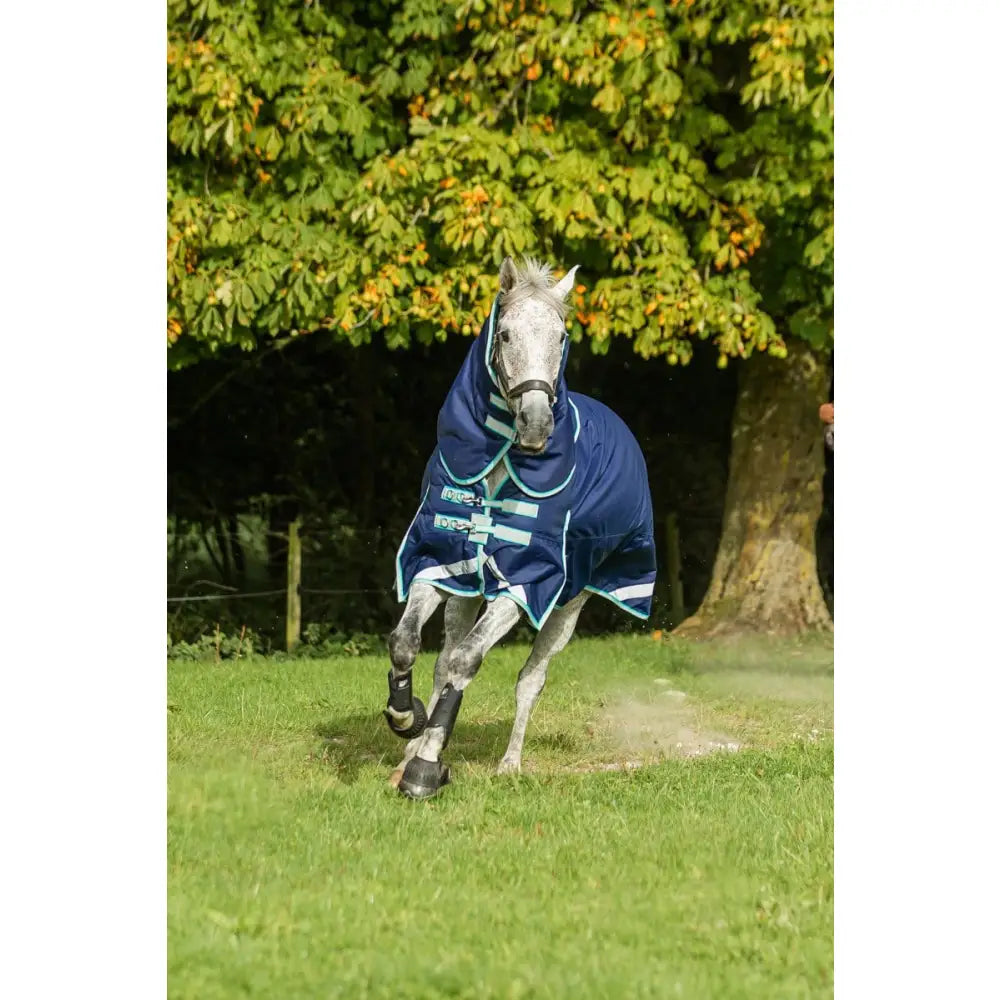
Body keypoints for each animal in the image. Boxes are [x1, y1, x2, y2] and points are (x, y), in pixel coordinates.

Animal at [384, 257, 657, 799]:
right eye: (506, 334)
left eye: (561, 335)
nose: (535, 424)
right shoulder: (440, 563)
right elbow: (409, 645)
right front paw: (408, 723)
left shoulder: (525, 583)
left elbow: (470, 662)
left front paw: (427, 766)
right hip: (465, 592)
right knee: (444, 659)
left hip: (568, 606)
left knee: (530, 677)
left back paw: (509, 762)